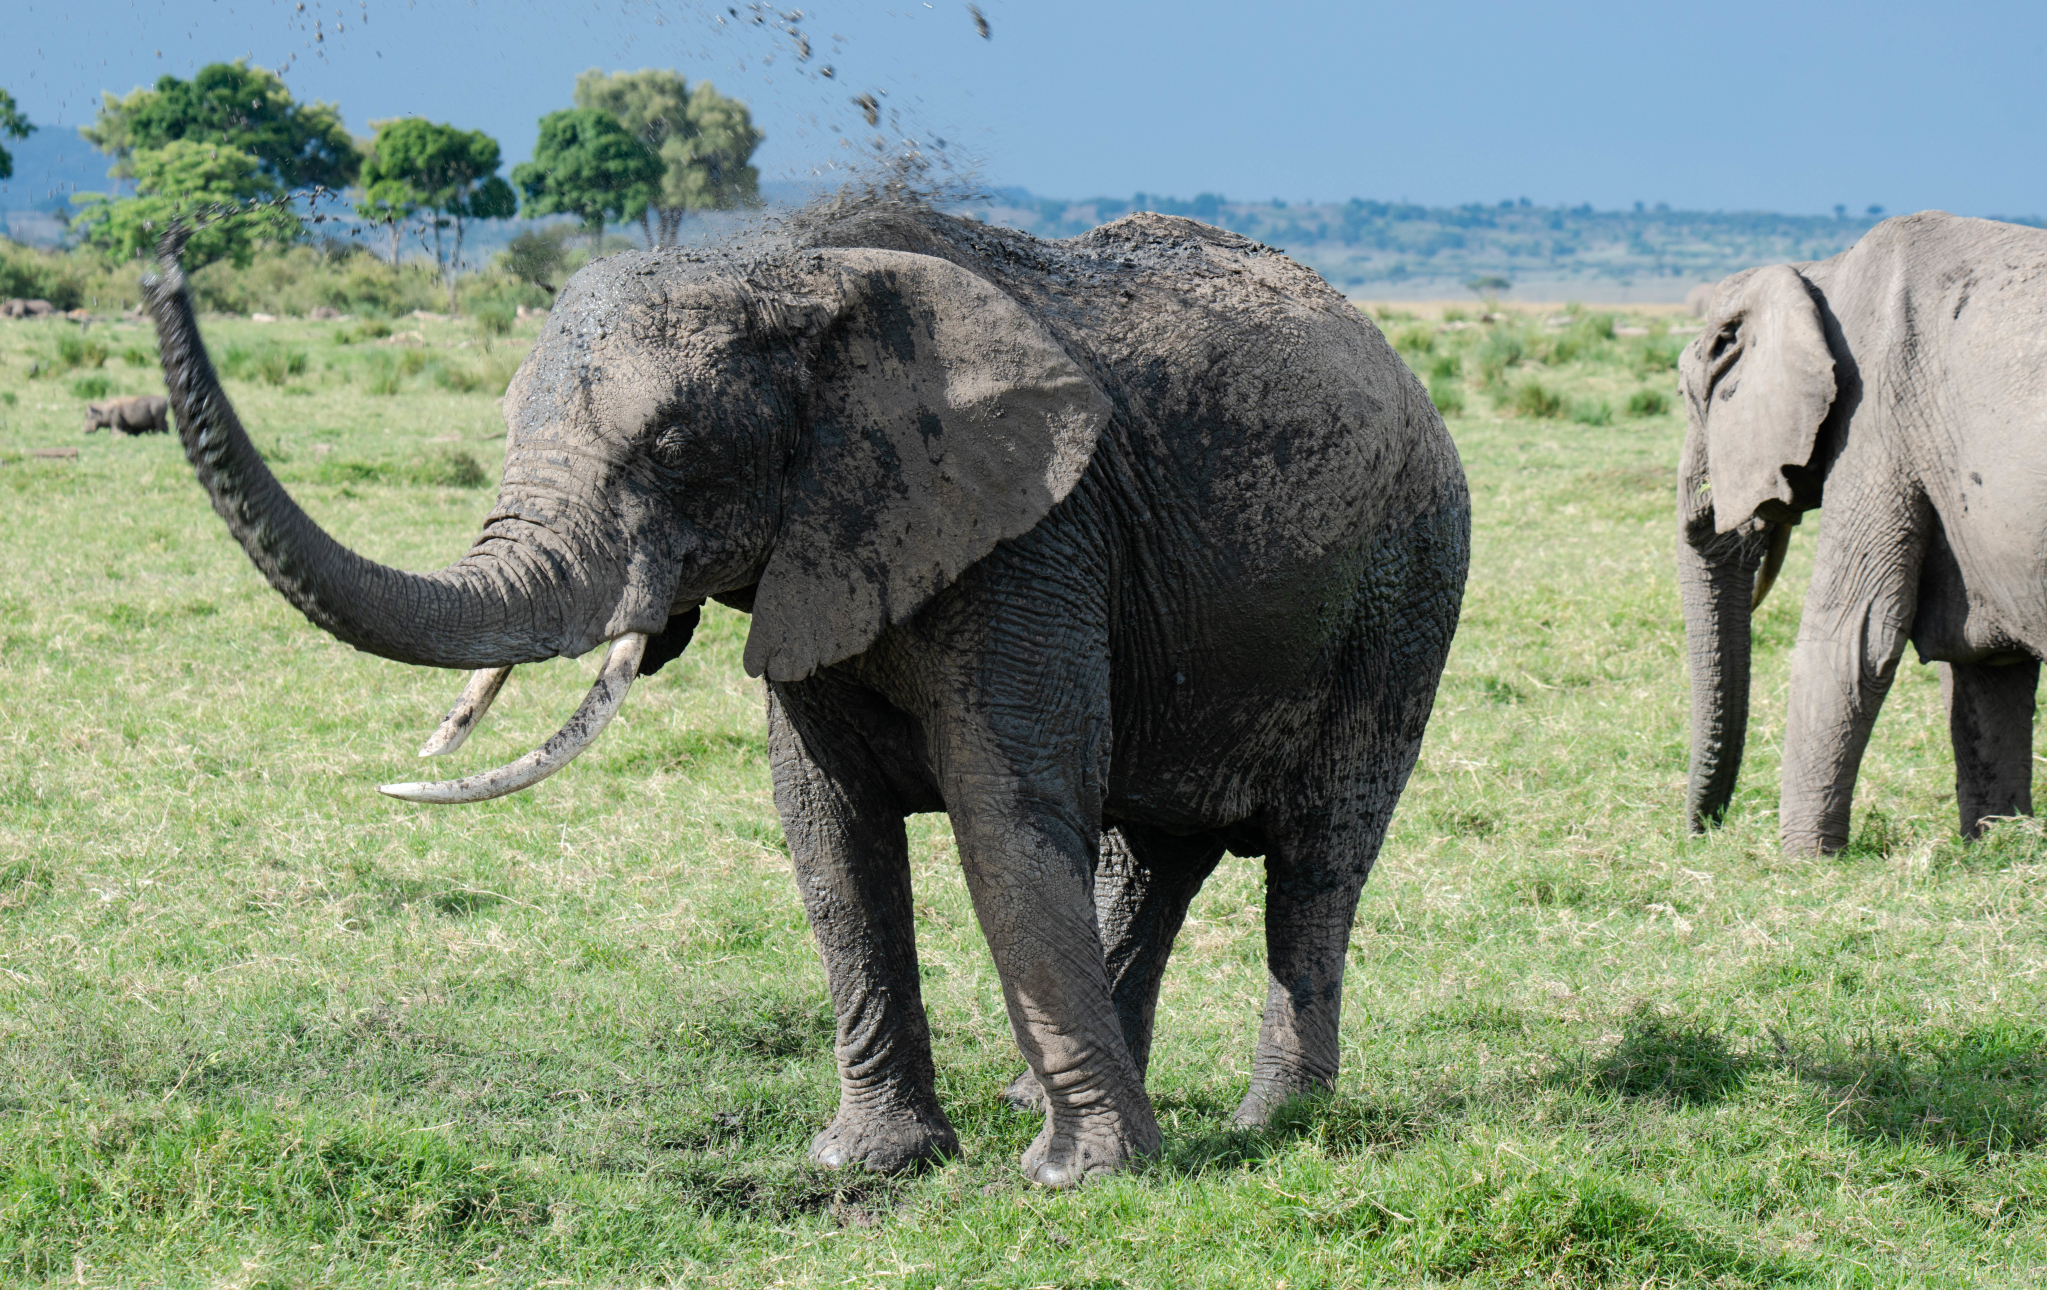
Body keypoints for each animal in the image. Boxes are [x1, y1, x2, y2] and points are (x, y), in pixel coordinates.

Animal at [140, 204, 1473, 1195]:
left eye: (675, 450)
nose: (163, 259)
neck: (790, 265)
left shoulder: (1032, 535)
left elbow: (1004, 808)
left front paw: (1076, 1184)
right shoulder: (833, 546)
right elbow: (826, 829)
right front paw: (868, 1163)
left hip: (1406, 590)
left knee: (1316, 862)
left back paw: (1266, 1125)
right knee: (1154, 858)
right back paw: (1038, 1097)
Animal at [1678, 209, 2046, 860]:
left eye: (1687, 398)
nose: (1701, 834)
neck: (1823, 272)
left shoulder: (1875, 418)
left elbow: (1852, 635)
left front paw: (1802, 863)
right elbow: (1987, 663)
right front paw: (1997, 847)